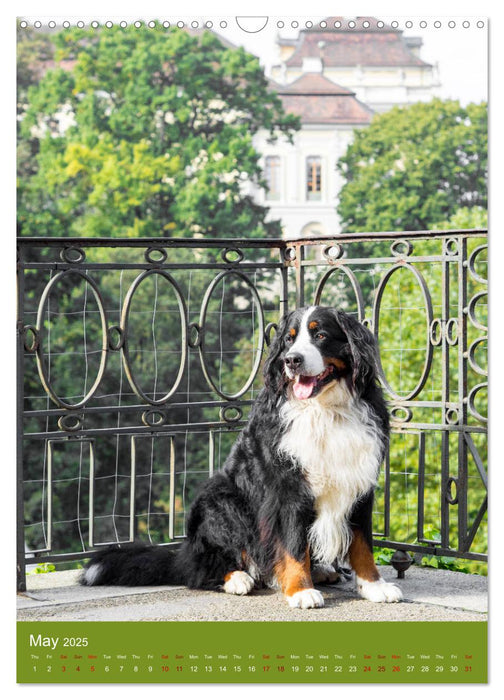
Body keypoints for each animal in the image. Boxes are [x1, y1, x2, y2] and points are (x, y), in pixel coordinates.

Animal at [81, 306, 402, 608]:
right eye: (289, 339)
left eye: (320, 335)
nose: (292, 360)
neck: (326, 410)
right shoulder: (288, 489)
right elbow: (293, 543)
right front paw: (301, 590)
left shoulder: (359, 483)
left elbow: (362, 545)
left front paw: (374, 586)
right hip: (221, 499)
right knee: (198, 569)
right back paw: (238, 578)